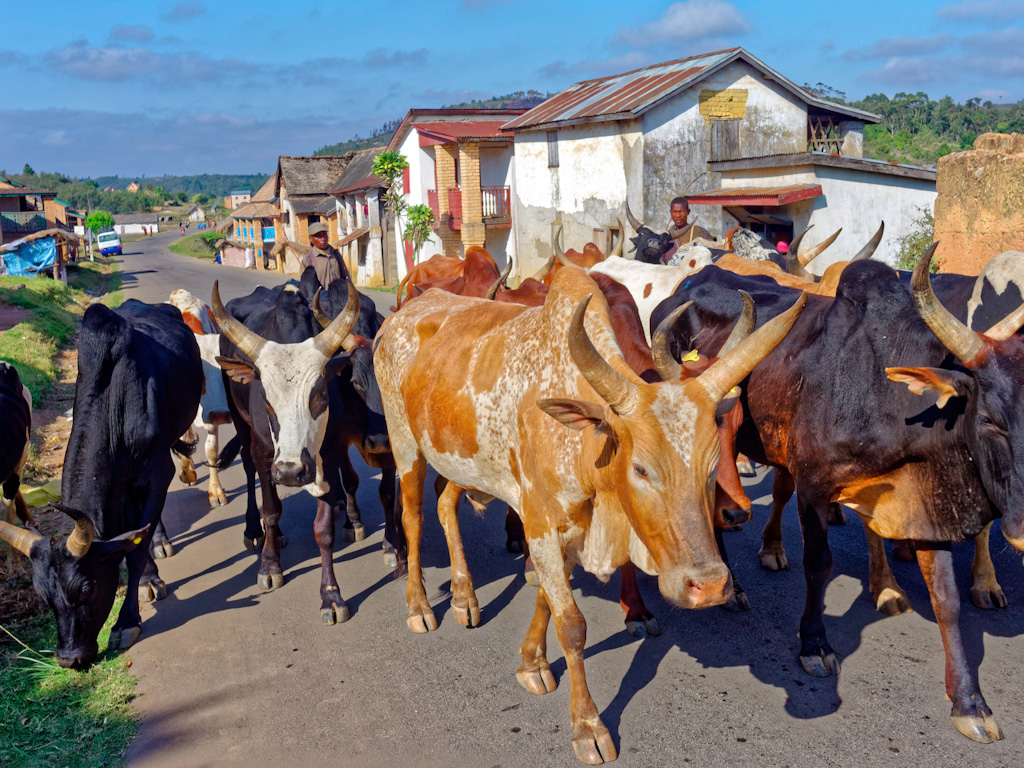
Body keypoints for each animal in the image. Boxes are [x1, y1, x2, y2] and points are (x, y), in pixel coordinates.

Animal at [0, 303, 201, 671]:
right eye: (43, 596)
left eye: (86, 589)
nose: (69, 659)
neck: (114, 403)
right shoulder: (121, 486)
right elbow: (132, 537)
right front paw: (150, 578)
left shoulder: (157, 473)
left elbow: (135, 549)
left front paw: (127, 622)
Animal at [211, 278, 364, 626]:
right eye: (267, 401)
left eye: (319, 395)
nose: (291, 472)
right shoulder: (265, 454)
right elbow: (270, 509)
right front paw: (269, 566)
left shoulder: (326, 456)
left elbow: (323, 529)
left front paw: (331, 595)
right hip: (241, 426)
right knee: (251, 474)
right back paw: (257, 531)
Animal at [655, 257, 1024, 745]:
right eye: (988, 419)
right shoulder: (815, 486)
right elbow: (819, 565)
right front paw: (814, 643)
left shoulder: (925, 507)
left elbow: (946, 597)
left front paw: (969, 702)